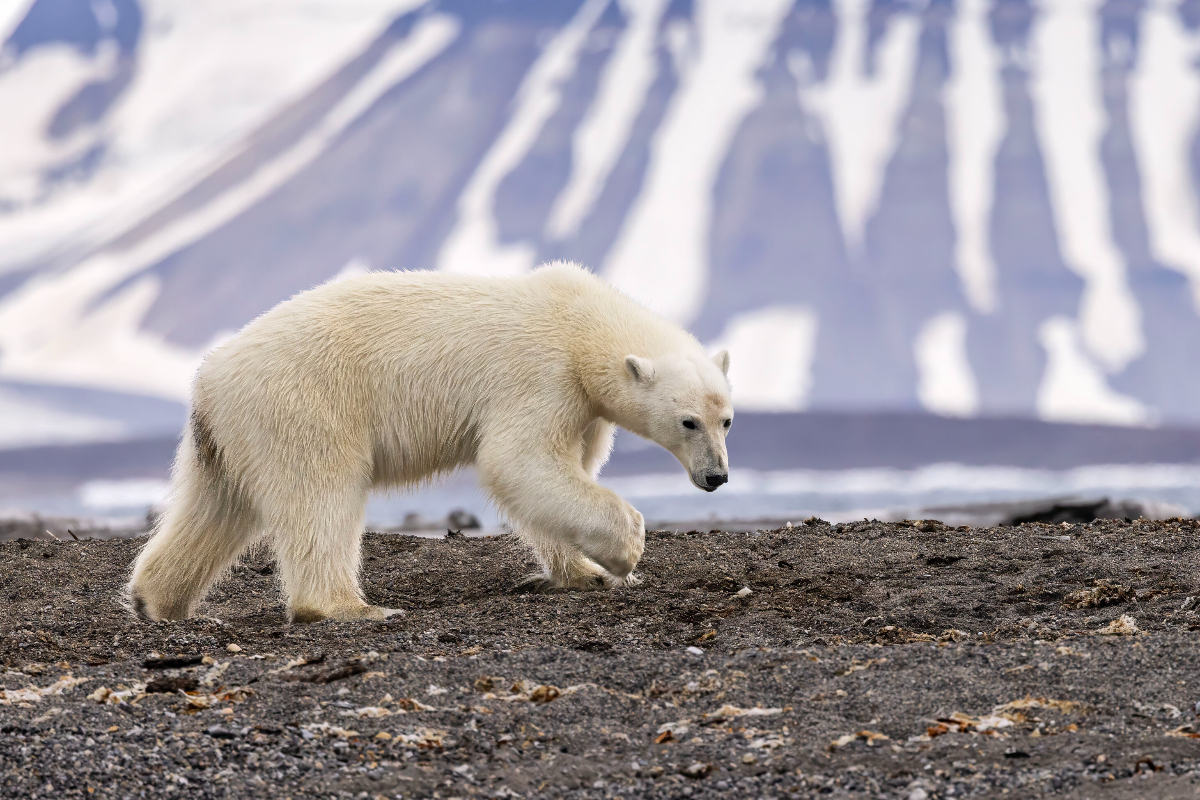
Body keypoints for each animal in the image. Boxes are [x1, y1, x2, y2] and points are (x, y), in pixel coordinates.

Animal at [126, 262, 733, 623]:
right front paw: (626, 553)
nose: (717, 476)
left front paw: (583, 572)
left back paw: (155, 598)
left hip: (229, 433)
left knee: (215, 505)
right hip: (306, 404)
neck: (577, 319)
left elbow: (562, 472)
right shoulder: (540, 374)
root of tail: (209, 379)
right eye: (688, 422)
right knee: (320, 496)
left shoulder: (583, 405)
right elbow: (518, 461)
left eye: (726, 420)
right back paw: (348, 608)